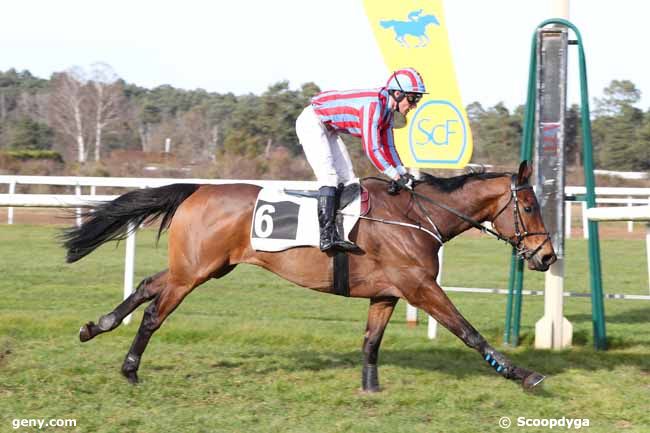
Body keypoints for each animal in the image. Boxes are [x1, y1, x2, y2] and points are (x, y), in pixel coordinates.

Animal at [63, 161, 556, 392]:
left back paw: (95, 327)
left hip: (203, 266)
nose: (547, 256)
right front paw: (522, 374)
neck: (418, 216)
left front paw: (370, 389)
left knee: (147, 285)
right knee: (154, 314)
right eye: (531, 206)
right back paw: (130, 369)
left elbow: (371, 342)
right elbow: (469, 332)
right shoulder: (420, 288)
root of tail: (197, 189)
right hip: (194, 272)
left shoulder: (388, 294)